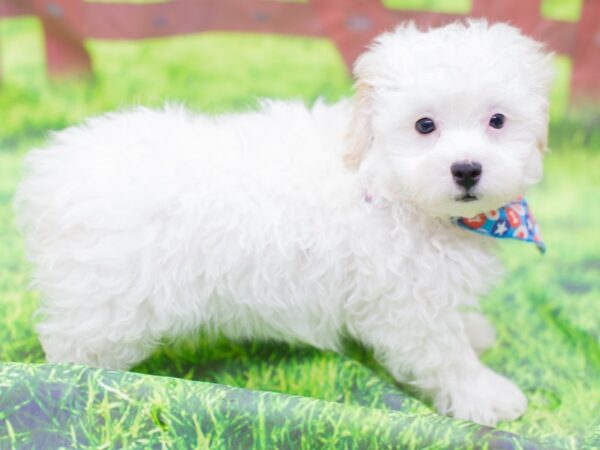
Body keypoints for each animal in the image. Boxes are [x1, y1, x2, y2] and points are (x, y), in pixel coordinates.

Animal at [14, 20, 552, 426]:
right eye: (424, 126)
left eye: (497, 121)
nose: (466, 169)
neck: (392, 185)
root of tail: (52, 172)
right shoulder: (407, 306)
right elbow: (447, 357)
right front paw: (487, 396)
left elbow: (457, 326)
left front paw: (475, 330)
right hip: (105, 310)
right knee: (73, 354)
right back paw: (75, 394)